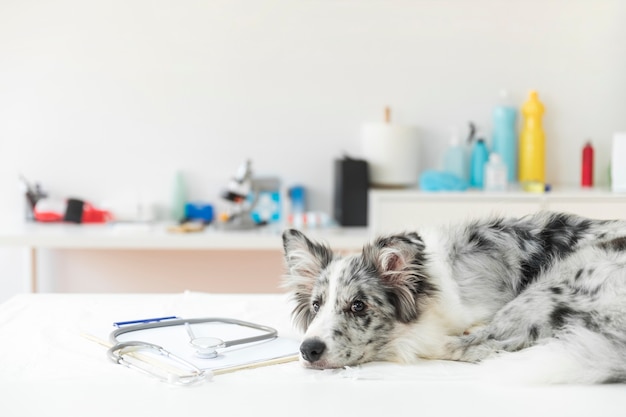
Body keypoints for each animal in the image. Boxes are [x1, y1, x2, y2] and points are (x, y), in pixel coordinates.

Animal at [280, 211, 624, 384]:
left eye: (358, 305)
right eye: (316, 305)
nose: (308, 350)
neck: (427, 282)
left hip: (546, 288)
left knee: (479, 347)